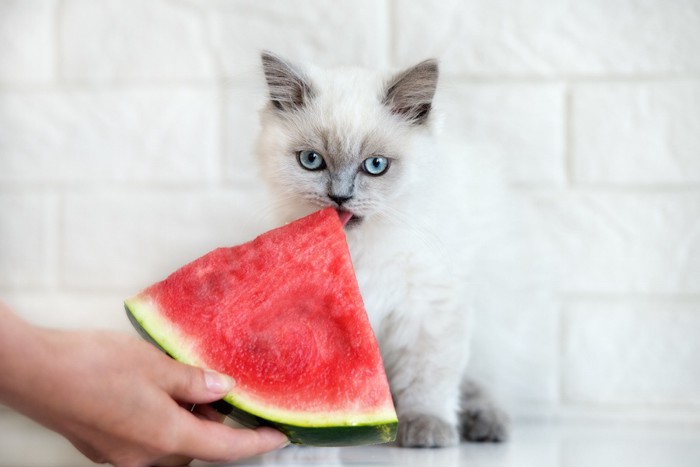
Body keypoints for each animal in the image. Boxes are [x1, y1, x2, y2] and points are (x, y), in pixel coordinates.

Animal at [254, 52, 506, 450]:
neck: (358, 251)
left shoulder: (427, 310)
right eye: (311, 160)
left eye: (375, 166)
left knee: (476, 384)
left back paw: (484, 424)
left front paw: (425, 429)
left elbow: (426, 378)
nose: (340, 197)